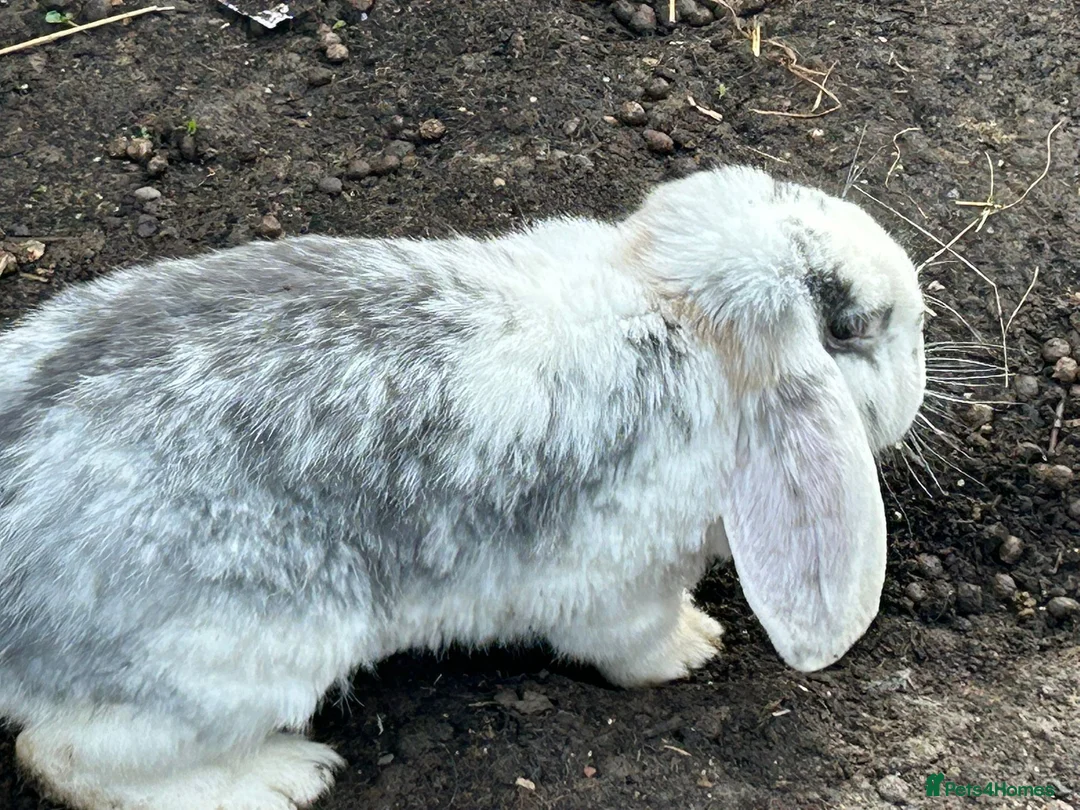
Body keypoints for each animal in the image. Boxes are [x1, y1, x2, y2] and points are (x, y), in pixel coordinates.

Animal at [0, 164, 925, 810]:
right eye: (847, 326)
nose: (922, 358)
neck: (668, 306)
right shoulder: (620, 589)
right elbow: (632, 645)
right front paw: (696, 646)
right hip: (228, 670)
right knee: (60, 758)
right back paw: (282, 776)